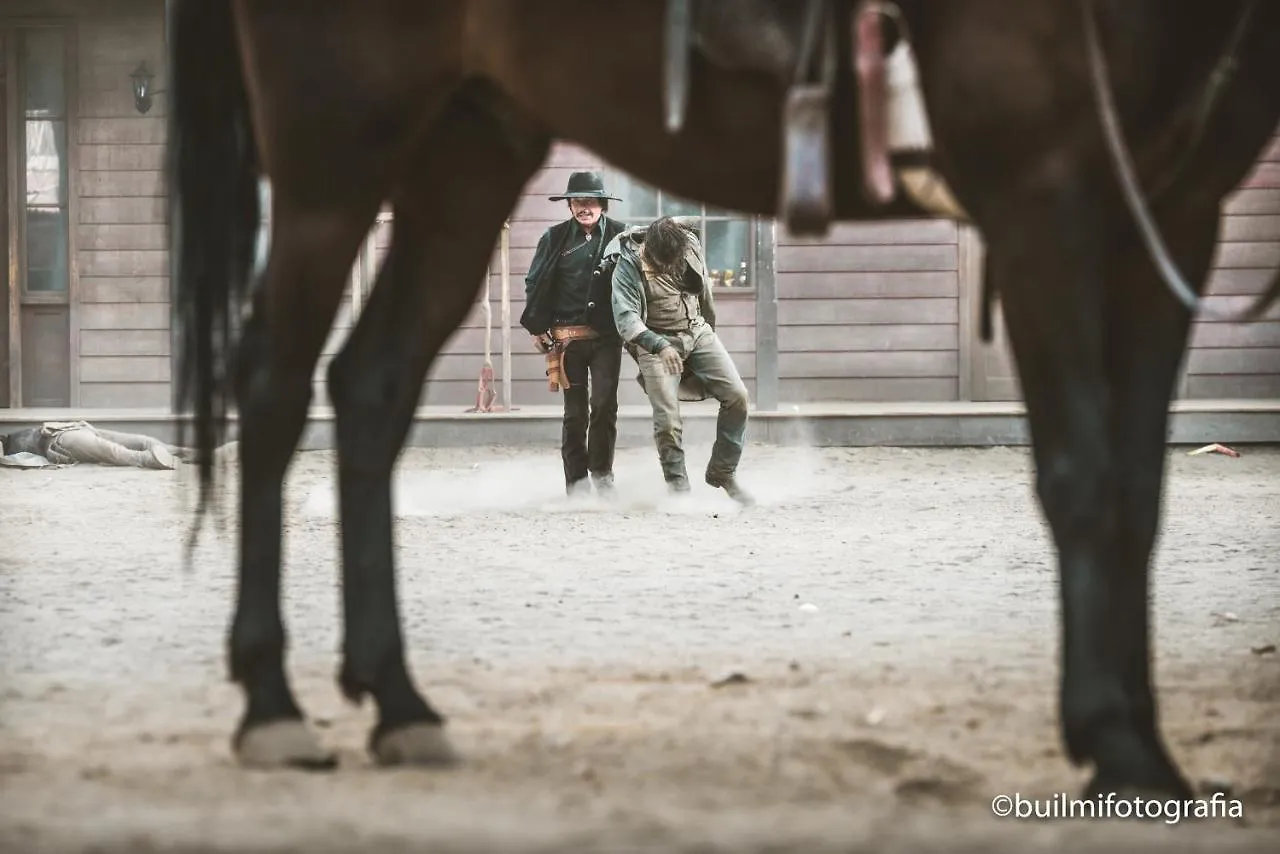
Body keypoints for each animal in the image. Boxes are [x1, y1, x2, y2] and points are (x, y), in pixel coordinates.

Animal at [165, 1, 1274, 804]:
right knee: (274, 385)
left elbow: (1138, 492)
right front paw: (1115, 740)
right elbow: (1085, 482)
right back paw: (272, 701)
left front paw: (1142, 745)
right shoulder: (1043, 188)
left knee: (370, 384)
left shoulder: (1172, 214)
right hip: (335, 150)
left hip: (465, 141)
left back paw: (399, 702)